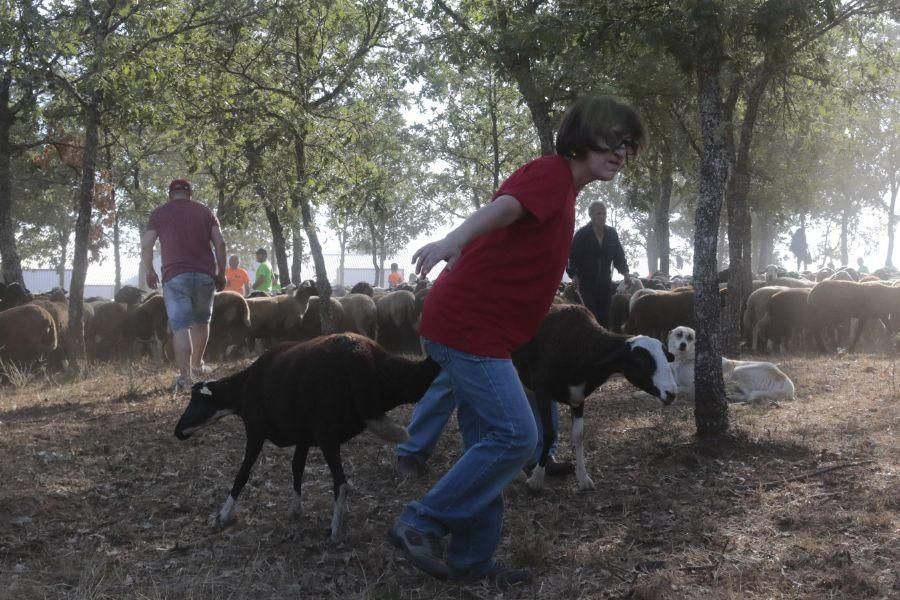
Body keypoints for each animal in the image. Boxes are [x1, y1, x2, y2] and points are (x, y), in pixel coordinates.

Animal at [172, 332, 440, 540]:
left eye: (195, 401)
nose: (177, 432)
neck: (242, 389)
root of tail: (359, 353)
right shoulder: (303, 437)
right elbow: (296, 468)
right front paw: (295, 509)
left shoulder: (256, 432)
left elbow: (243, 473)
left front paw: (222, 516)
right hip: (399, 381)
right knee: (423, 376)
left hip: (327, 432)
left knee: (342, 483)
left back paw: (334, 532)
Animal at [512, 304, 676, 492]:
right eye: (640, 360)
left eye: (666, 358)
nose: (671, 393)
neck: (580, 345)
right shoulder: (542, 391)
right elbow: (549, 433)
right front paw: (537, 479)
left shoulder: (578, 397)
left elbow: (578, 435)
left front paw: (583, 478)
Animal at [668, 324, 796, 404]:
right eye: (679, 334)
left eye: (690, 337)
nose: (683, 345)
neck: (684, 358)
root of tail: (787, 381)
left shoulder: (692, 386)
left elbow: (678, 388)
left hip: (739, 370)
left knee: (748, 396)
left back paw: (730, 396)